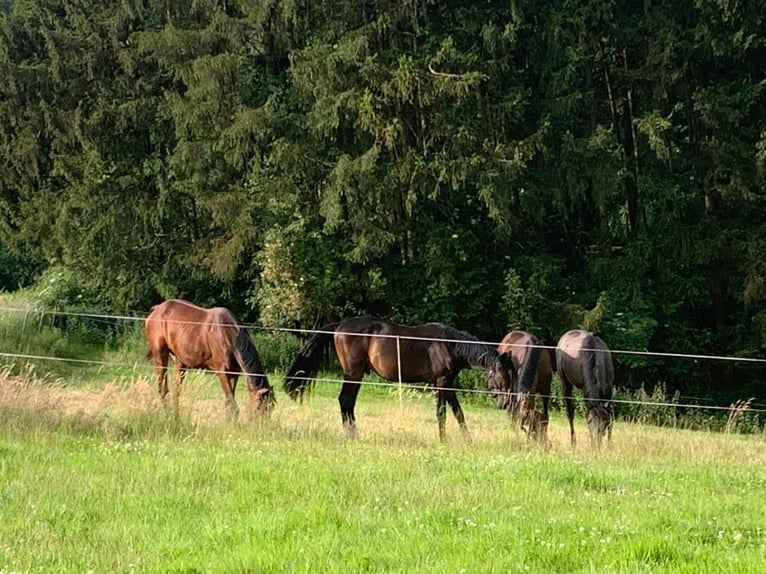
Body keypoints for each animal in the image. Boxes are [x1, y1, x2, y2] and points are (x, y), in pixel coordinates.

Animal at [145, 300, 276, 420]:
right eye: (259, 407)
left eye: (271, 408)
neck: (227, 334)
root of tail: (157, 309)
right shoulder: (222, 372)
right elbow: (232, 405)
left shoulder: (234, 373)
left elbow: (228, 403)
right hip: (160, 356)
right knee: (163, 389)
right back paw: (167, 416)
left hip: (180, 360)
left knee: (176, 391)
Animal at [284, 318, 516, 444]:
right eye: (502, 376)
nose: (505, 403)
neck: (448, 345)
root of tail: (340, 325)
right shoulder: (441, 383)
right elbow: (442, 413)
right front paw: (443, 440)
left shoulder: (446, 384)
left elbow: (458, 413)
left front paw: (468, 440)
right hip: (353, 374)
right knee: (345, 400)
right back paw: (351, 434)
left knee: (348, 403)